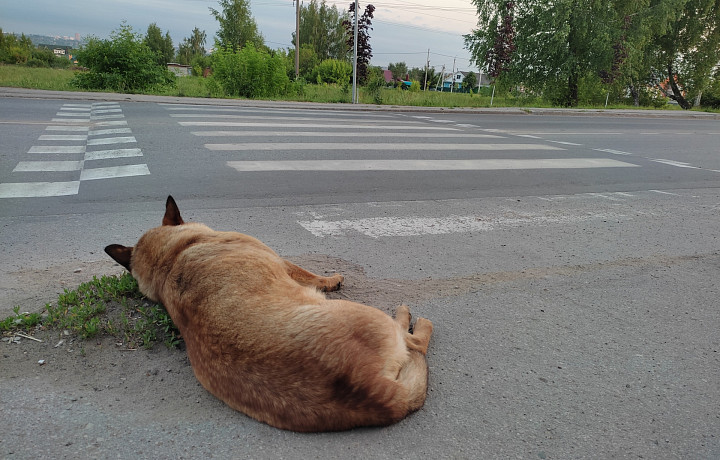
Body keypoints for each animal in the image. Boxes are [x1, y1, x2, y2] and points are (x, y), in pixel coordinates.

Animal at [105, 197, 434, 432]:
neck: (170, 258)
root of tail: (372, 392)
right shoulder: (282, 261)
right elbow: (308, 273)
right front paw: (330, 280)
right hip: (367, 314)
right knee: (415, 343)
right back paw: (409, 318)